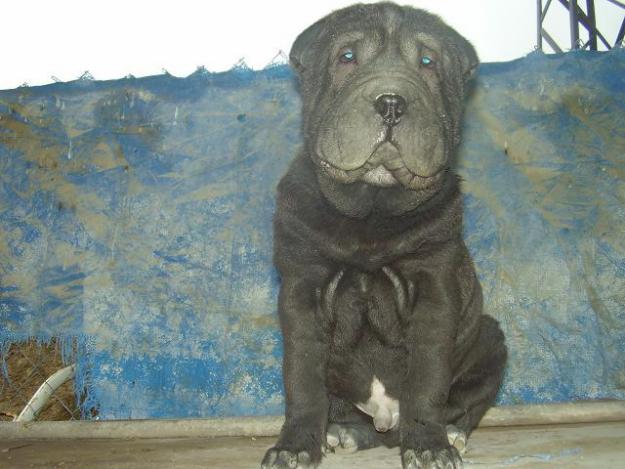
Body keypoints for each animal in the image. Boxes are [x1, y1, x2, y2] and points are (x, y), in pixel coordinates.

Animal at [260, 1, 504, 466]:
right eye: (347, 57)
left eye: (428, 62)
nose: (391, 102)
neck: (371, 207)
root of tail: (385, 422)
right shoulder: (303, 288)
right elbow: (302, 378)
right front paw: (294, 447)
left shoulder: (433, 289)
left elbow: (427, 378)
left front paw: (429, 446)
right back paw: (344, 432)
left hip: (490, 337)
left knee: (467, 402)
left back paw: (451, 434)